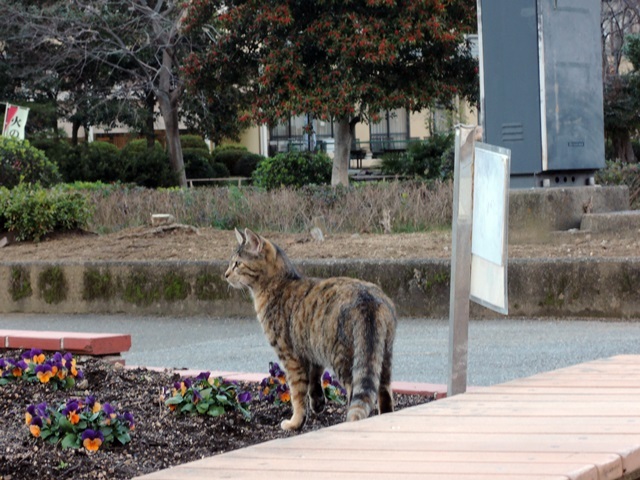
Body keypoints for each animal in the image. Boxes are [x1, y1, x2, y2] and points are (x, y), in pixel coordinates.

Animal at [224, 229, 396, 432]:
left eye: (237, 264)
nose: (225, 274)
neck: (278, 283)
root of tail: (368, 300)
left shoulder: (290, 357)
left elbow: (297, 395)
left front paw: (295, 422)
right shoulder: (312, 349)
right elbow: (314, 379)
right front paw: (318, 402)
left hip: (345, 359)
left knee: (355, 393)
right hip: (383, 357)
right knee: (384, 393)